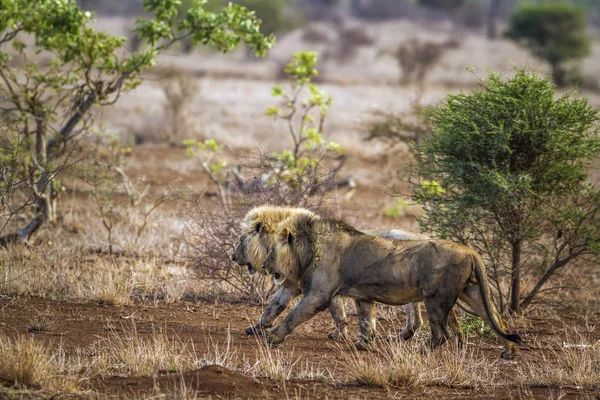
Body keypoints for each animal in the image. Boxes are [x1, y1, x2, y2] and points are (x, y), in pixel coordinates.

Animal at [232, 206, 462, 344]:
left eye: (241, 240)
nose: (233, 257)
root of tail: (422, 236)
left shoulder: (317, 285)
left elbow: (335, 310)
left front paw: (339, 333)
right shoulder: (291, 285)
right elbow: (273, 307)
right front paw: (256, 328)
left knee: (417, 318)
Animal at [262, 214, 520, 358]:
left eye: (272, 250)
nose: (263, 266)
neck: (308, 249)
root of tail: (471, 252)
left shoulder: (318, 294)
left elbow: (293, 315)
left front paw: (273, 337)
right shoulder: (363, 297)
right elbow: (366, 322)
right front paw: (363, 345)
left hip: (435, 299)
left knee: (441, 335)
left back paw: (421, 351)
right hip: (472, 295)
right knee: (497, 319)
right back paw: (510, 350)